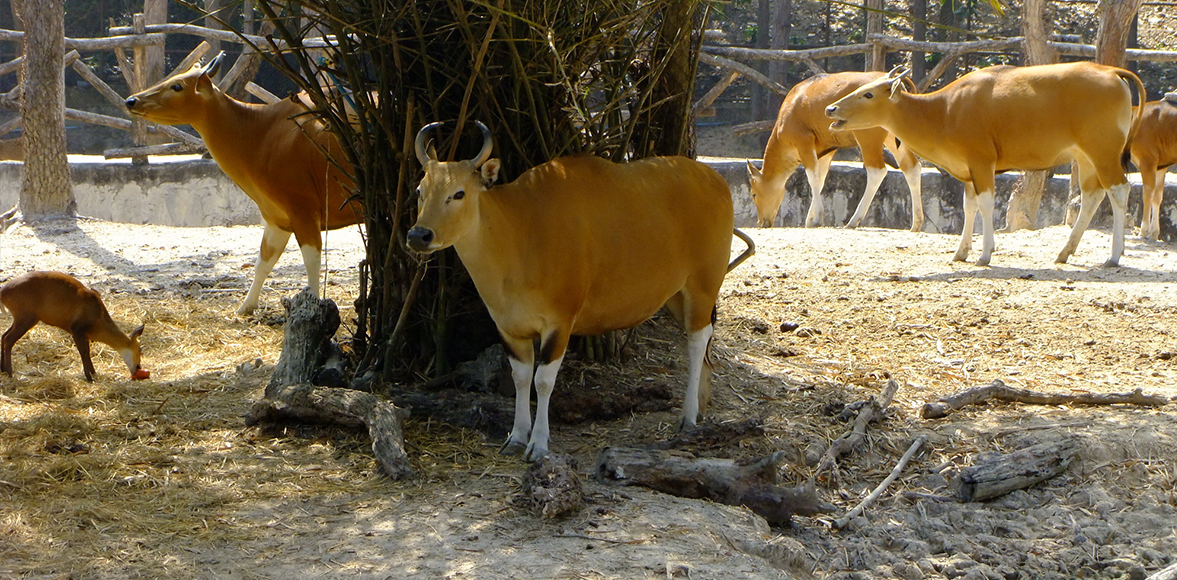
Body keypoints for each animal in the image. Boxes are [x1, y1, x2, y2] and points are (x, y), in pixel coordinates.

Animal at [0, 270, 149, 381]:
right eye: (139, 349)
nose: (138, 367)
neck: (98, 321)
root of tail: (3, 293)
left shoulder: (85, 334)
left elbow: (87, 351)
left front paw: (93, 372)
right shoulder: (77, 329)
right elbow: (83, 351)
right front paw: (89, 377)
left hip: (20, 318)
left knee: (4, 335)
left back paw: (3, 369)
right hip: (27, 317)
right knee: (9, 339)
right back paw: (10, 373)